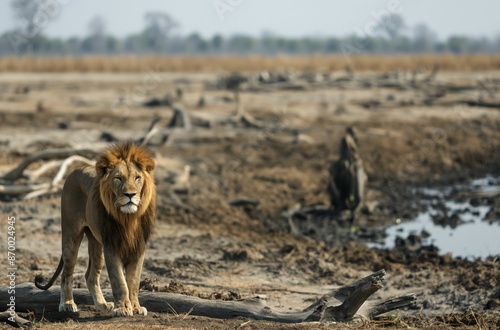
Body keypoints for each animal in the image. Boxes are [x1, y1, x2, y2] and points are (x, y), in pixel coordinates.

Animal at [34, 142, 155, 318]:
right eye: (118, 178)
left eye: (137, 178)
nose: (130, 194)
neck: (128, 218)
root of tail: (75, 170)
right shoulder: (111, 246)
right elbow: (119, 281)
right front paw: (123, 308)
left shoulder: (138, 248)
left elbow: (133, 282)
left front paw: (135, 307)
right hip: (71, 236)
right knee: (66, 274)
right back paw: (67, 304)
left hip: (97, 244)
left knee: (90, 276)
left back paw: (102, 305)